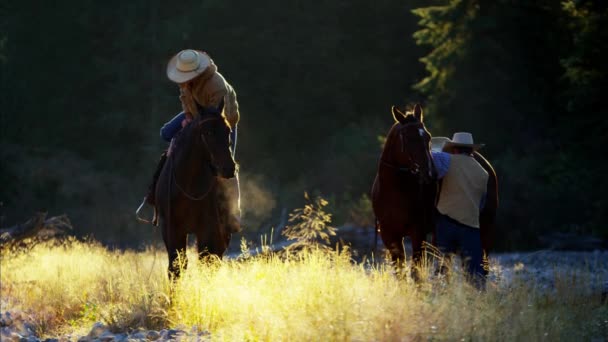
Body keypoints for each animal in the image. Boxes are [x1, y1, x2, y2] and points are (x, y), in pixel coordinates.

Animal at [156, 111, 236, 280]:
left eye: (228, 131)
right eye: (208, 132)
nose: (229, 168)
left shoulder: (207, 228)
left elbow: (206, 260)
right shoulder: (171, 227)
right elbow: (176, 265)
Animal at [370, 105, 436, 278]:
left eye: (428, 137)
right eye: (408, 138)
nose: (430, 173)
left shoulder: (418, 233)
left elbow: (415, 272)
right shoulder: (390, 235)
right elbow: (400, 272)